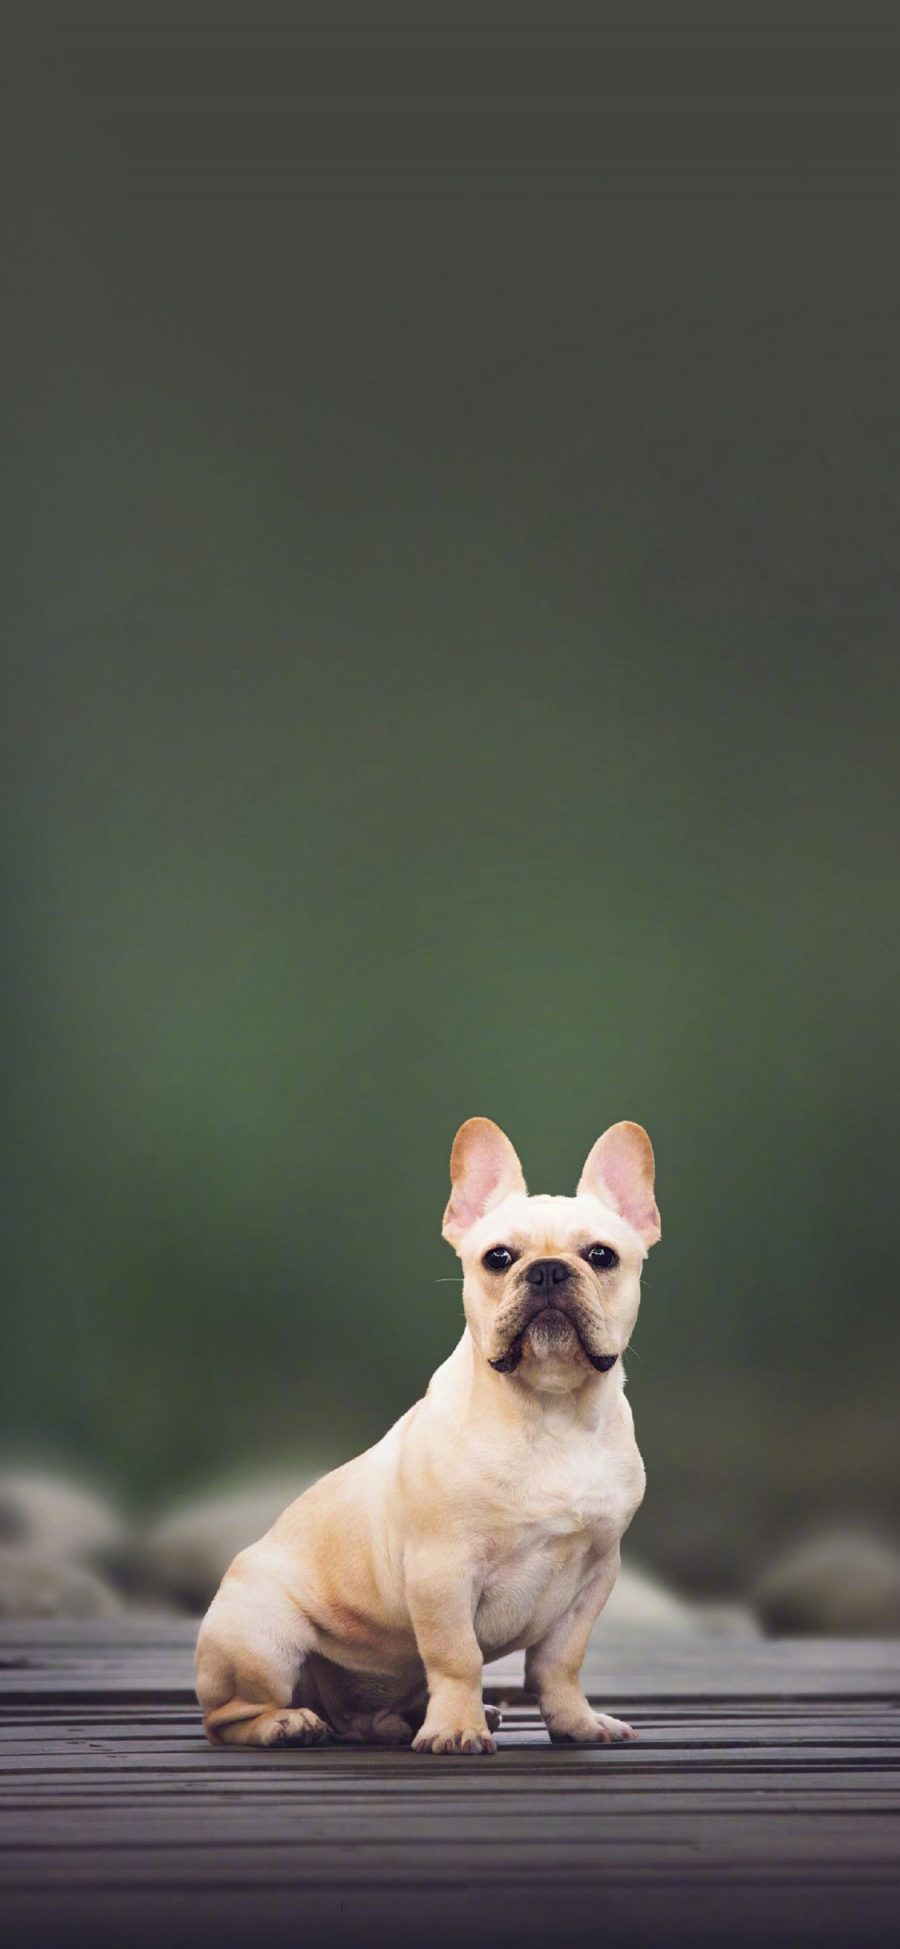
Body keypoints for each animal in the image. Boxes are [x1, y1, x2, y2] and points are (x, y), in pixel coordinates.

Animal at [198, 1122, 662, 1761]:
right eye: (499, 1258)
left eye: (600, 1256)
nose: (547, 1270)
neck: (550, 1411)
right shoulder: (442, 1571)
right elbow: (456, 1655)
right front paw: (456, 1730)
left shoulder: (593, 1575)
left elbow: (561, 1662)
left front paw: (575, 1721)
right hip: (264, 1639)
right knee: (226, 1716)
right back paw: (287, 1724)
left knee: (368, 1717)